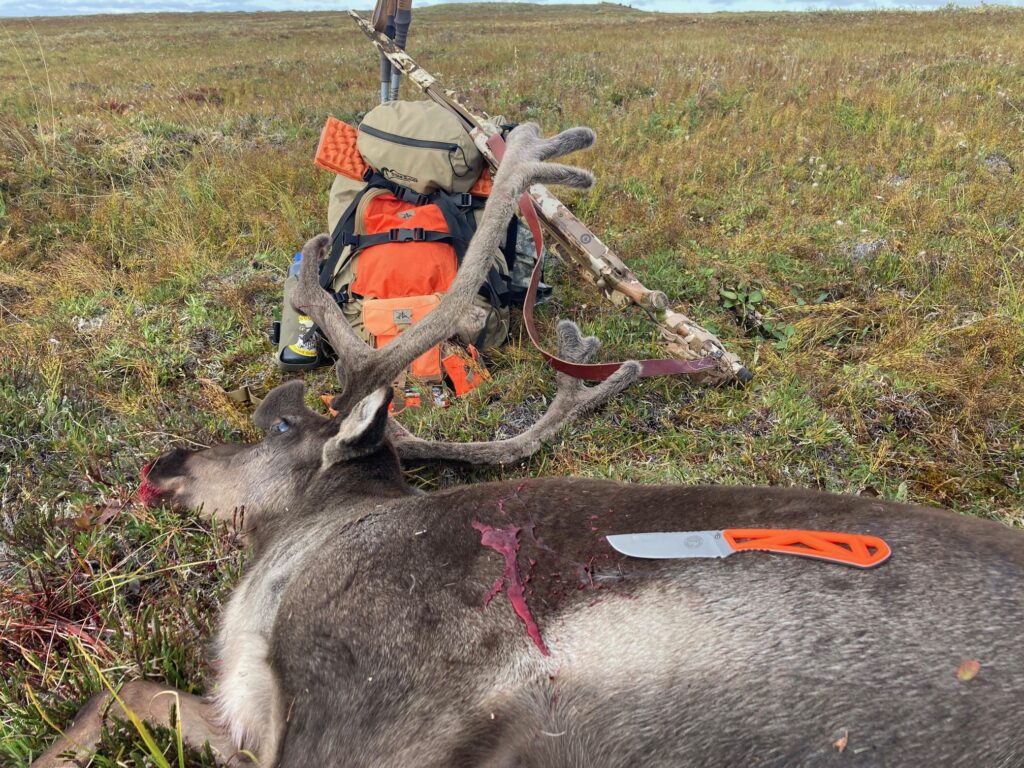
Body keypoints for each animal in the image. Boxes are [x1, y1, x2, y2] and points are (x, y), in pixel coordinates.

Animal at [34, 123, 1024, 768]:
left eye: (278, 424)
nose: (164, 464)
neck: (305, 549)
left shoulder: (360, 721)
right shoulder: (247, 717)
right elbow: (125, 692)